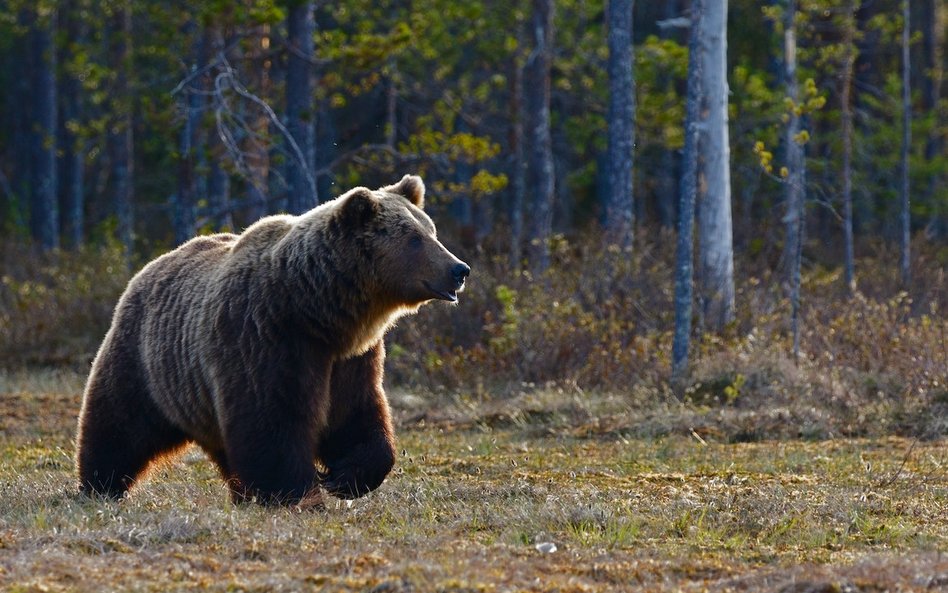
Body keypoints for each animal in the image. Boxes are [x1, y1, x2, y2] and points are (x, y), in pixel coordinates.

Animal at [76, 176, 468, 504]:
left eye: (431, 230)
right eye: (414, 238)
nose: (459, 269)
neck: (317, 310)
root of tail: (150, 266)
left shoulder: (351, 358)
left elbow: (356, 414)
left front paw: (344, 477)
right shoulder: (266, 337)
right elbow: (272, 420)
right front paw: (297, 492)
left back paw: (240, 493)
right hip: (147, 360)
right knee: (118, 423)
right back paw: (99, 485)